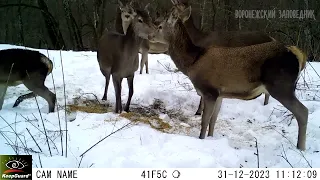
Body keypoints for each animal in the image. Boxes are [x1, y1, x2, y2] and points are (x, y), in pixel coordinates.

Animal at [149, 4, 308, 150]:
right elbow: (213, 120)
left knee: (303, 111)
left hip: (281, 86)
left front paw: (201, 139)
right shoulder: (220, 94)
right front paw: (211, 138)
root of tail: (298, 55)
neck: (192, 63)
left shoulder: (209, 91)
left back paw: (300, 147)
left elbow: (204, 121)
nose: (149, 36)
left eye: (160, 26)